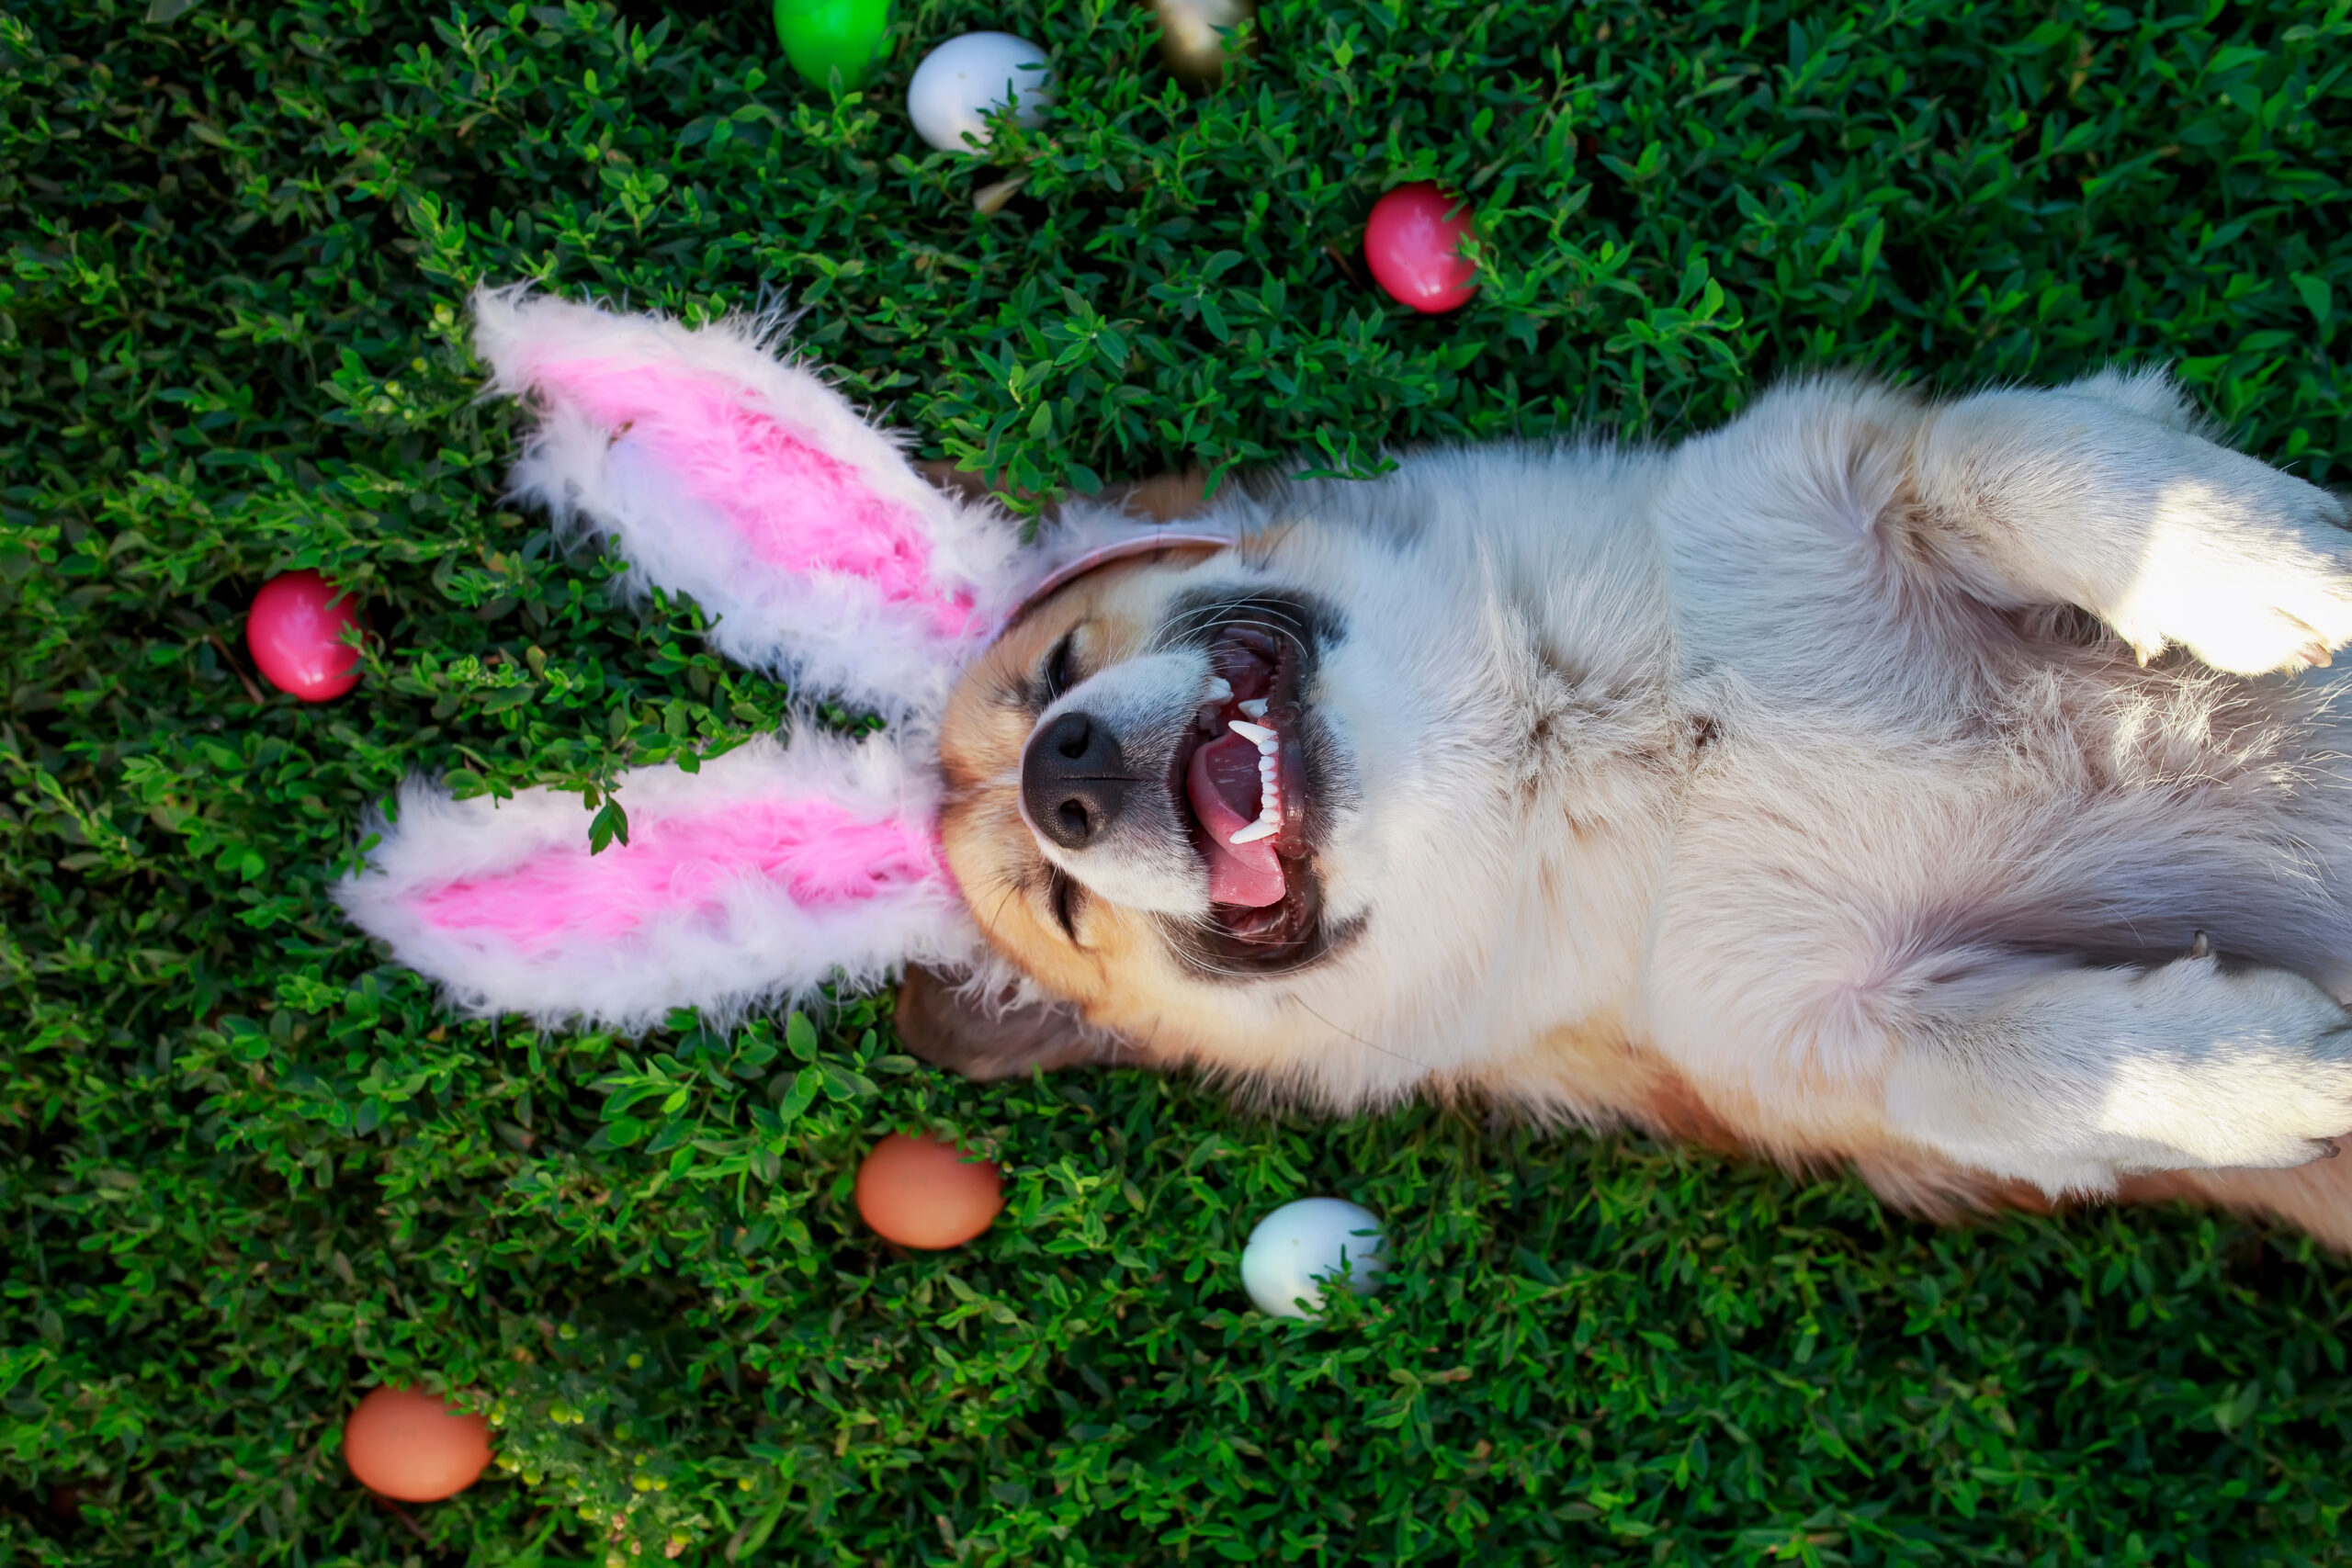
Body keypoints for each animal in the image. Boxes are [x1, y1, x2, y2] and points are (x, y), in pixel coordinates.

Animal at [341, 293, 2352, 1250]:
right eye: (1060, 896)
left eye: (1052, 674)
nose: (1067, 779)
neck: (1603, 744)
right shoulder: (1815, 1039)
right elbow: (2025, 1072)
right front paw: (2277, 1071)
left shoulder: (1845, 476)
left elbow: (2032, 459)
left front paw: (2274, 573)